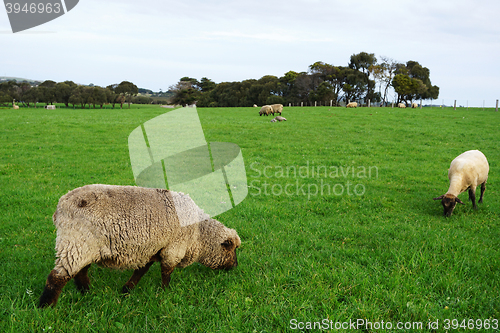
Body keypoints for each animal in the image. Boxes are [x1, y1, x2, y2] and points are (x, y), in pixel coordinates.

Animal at [38, 184, 241, 306]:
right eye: (232, 249)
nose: (235, 267)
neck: (198, 234)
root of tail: (61, 205)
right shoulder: (173, 249)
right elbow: (166, 272)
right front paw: (165, 292)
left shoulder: (152, 249)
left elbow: (141, 271)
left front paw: (127, 289)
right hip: (76, 243)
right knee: (57, 277)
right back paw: (46, 307)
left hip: (85, 247)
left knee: (80, 272)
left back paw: (86, 293)